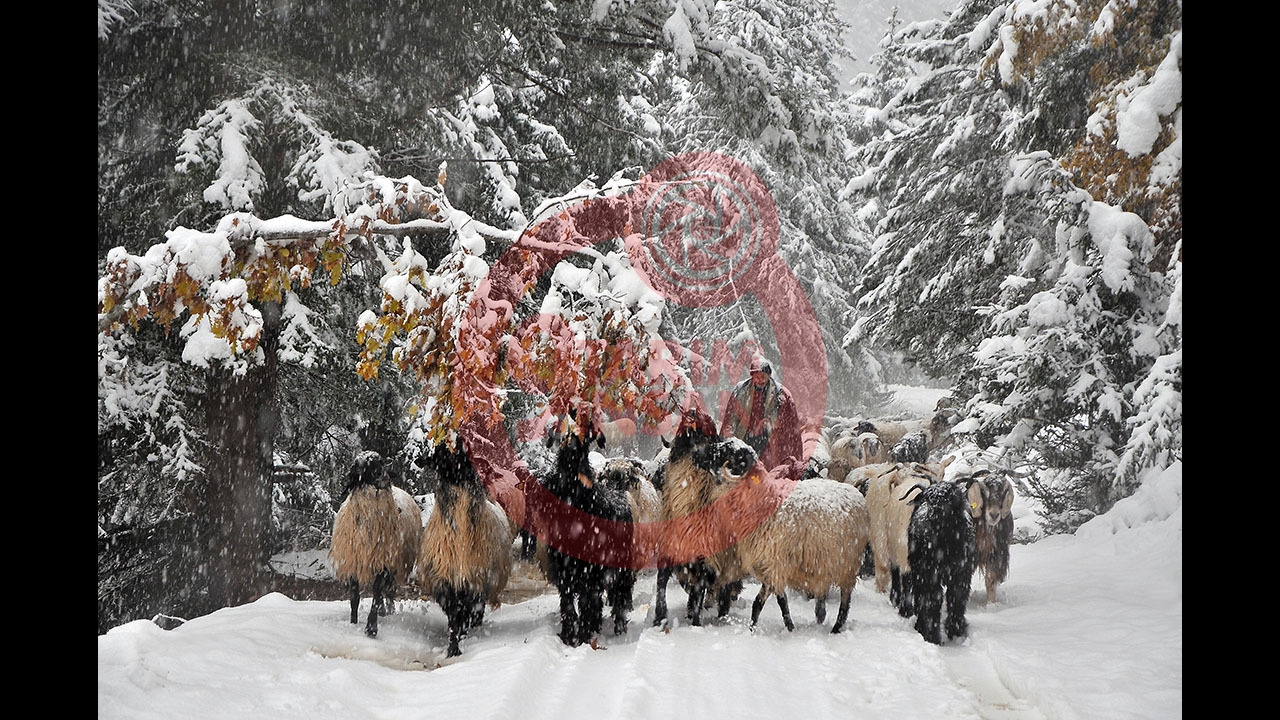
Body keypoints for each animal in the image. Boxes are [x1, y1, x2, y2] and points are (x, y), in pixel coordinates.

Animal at [328, 450, 424, 638]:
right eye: (362, 465)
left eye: (380, 461)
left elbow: (377, 593)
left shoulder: (385, 561)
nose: (383, 475)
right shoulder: (353, 561)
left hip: (396, 562)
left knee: (390, 591)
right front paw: (353, 622)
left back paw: (388, 611)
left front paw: (371, 628)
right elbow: (355, 598)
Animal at [416, 445, 514, 657]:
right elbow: (454, 617)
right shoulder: (444, 581)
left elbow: (465, 614)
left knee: (476, 613)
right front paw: (453, 648)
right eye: (439, 456)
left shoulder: (475, 582)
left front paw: (458, 644)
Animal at [900, 479, 977, 645]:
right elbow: (933, 601)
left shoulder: (962, 575)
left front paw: (957, 632)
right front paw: (932, 636)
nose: (929, 521)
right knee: (920, 597)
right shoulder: (929, 575)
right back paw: (920, 626)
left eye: (949, 500)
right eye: (928, 500)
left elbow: (956, 599)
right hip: (918, 572)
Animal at [965, 472, 1015, 603]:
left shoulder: (997, 552)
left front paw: (991, 604)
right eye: (984, 492)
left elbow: (990, 578)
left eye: (1003, 492)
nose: (994, 515)